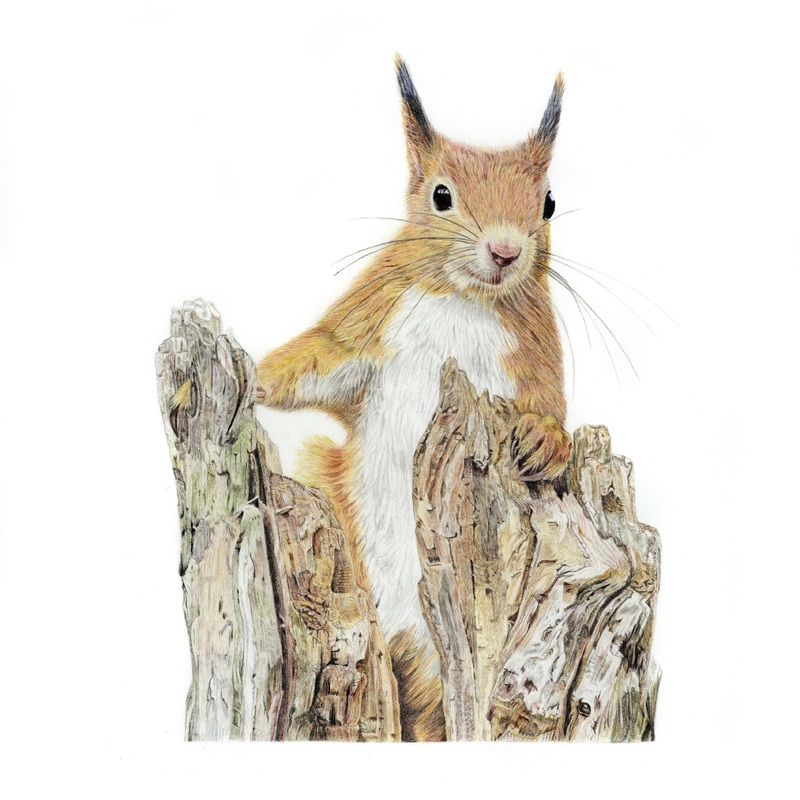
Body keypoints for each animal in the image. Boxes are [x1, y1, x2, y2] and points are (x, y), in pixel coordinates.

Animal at [256, 56, 572, 741]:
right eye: (441, 195)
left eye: (548, 203)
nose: (506, 252)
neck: (465, 300)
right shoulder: (368, 326)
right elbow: (318, 361)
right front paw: (255, 371)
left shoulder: (534, 362)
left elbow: (552, 410)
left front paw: (544, 439)